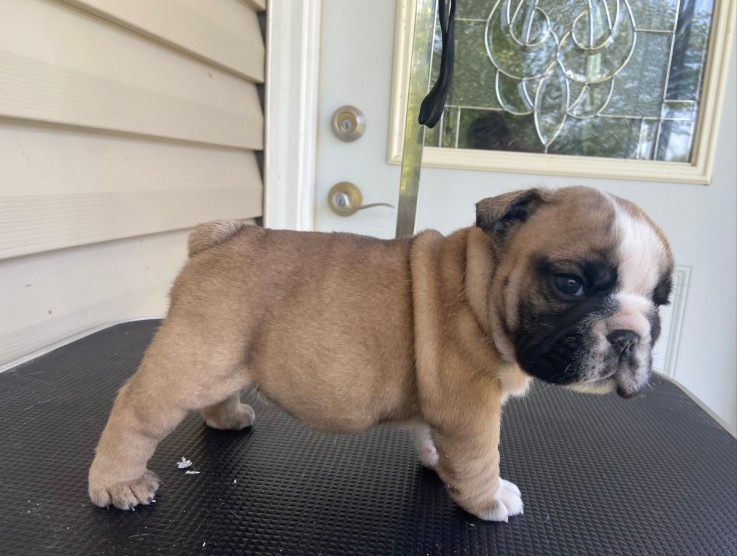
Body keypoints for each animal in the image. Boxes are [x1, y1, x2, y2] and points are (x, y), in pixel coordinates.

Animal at [89, 187, 668, 520]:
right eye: (570, 284)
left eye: (661, 302)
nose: (628, 336)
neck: (476, 285)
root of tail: (221, 238)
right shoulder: (471, 411)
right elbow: (481, 458)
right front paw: (488, 500)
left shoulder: (444, 408)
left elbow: (437, 442)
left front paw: (437, 463)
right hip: (194, 359)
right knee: (134, 408)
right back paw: (119, 482)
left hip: (228, 356)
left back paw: (228, 418)